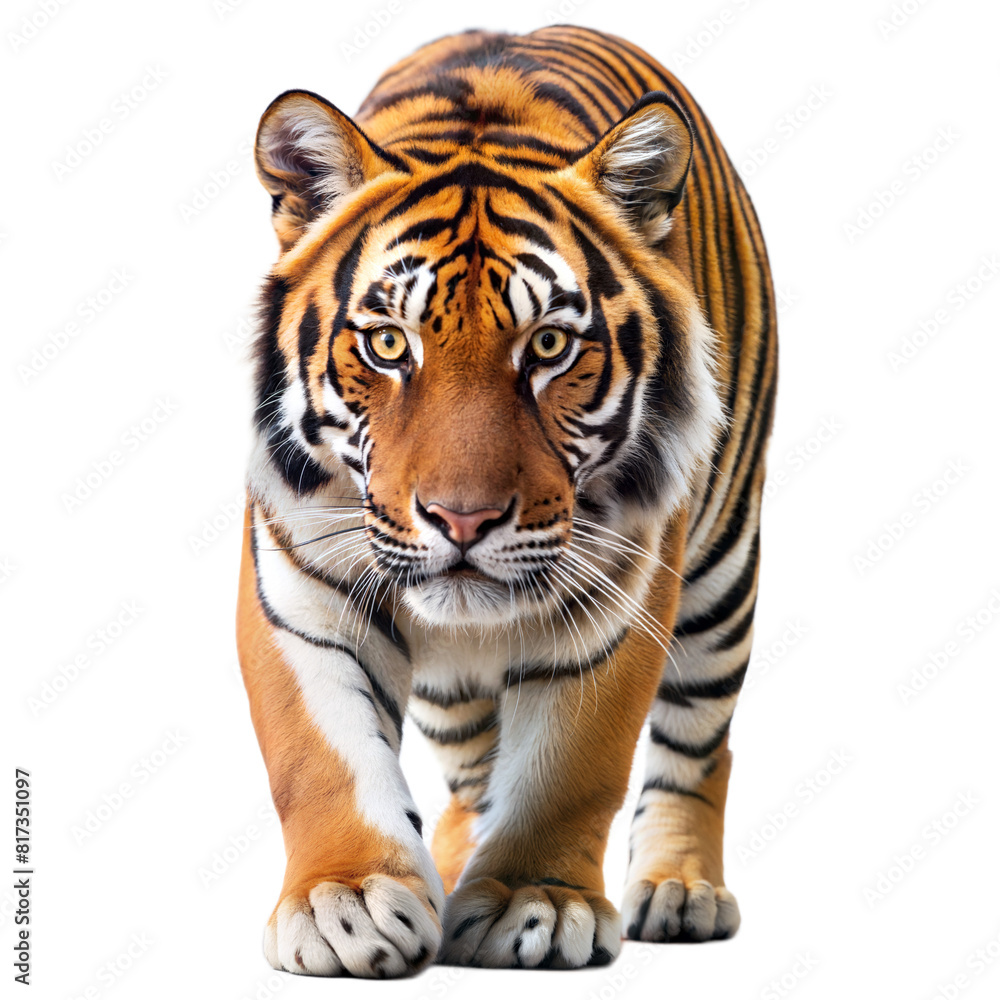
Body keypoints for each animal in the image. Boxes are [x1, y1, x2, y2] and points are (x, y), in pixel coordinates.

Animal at [236, 24, 776, 976]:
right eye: (387, 344)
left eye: (550, 346)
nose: (464, 519)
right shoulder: (299, 583)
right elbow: (319, 758)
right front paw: (347, 902)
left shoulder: (622, 587)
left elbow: (572, 767)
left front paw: (538, 902)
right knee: (472, 764)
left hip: (722, 576)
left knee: (698, 741)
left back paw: (680, 889)